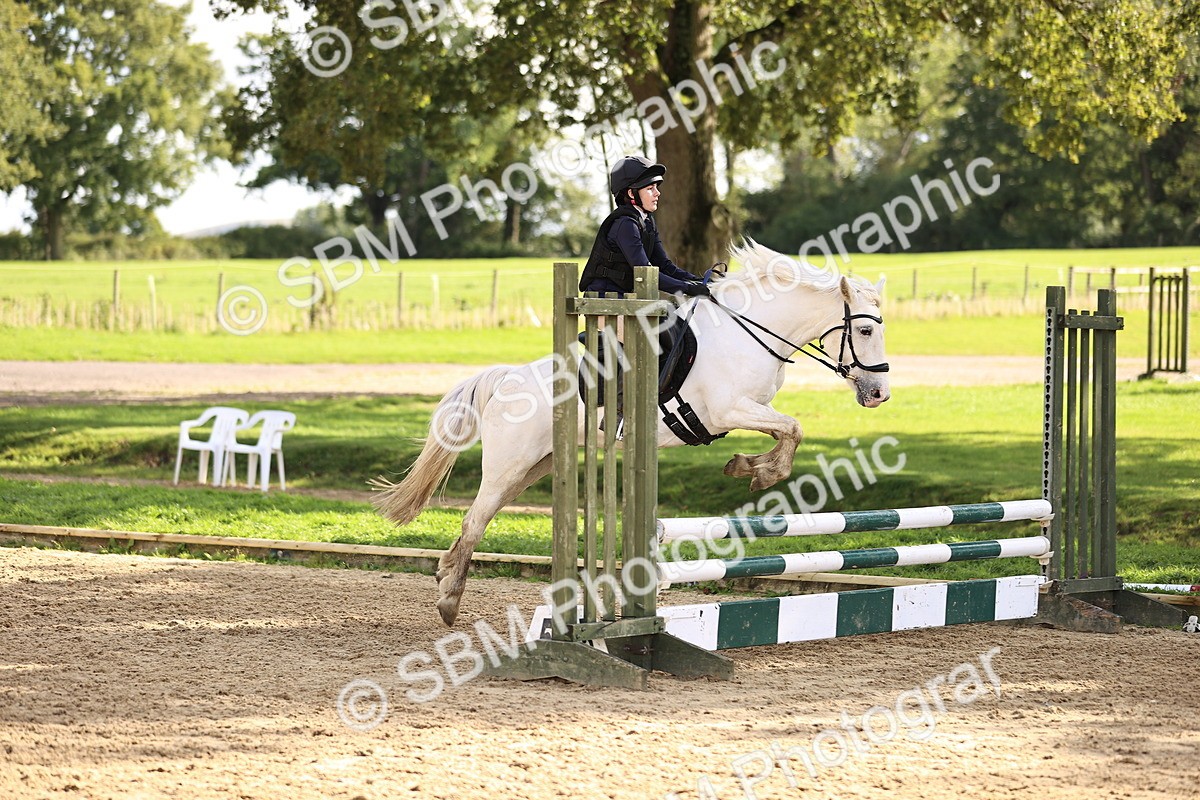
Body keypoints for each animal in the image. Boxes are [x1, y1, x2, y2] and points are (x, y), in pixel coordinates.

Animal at [371, 241, 891, 626]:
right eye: (865, 331)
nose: (879, 393)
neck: (750, 333)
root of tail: (506, 379)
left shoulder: (749, 410)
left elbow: (788, 431)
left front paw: (748, 466)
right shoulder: (730, 409)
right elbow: (792, 430)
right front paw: (758, 472)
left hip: (534, 468)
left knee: (477, 521)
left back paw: (446, 582)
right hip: (508, 467)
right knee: (473, 522)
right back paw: (448, 601)